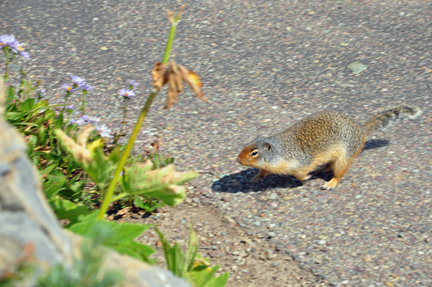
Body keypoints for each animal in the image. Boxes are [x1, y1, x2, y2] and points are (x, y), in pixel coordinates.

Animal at [236, 104, 422, 190]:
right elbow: (264, 171)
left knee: (339, 172)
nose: (237, 160)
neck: (280, 151)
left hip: (345, 156)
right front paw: (256, 178)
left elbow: (300, 174)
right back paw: (322, 169)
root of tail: (360, 130)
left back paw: (330, 183)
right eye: (245, 146)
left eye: (254, 153)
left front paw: (306, 178)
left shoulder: (300, 163)